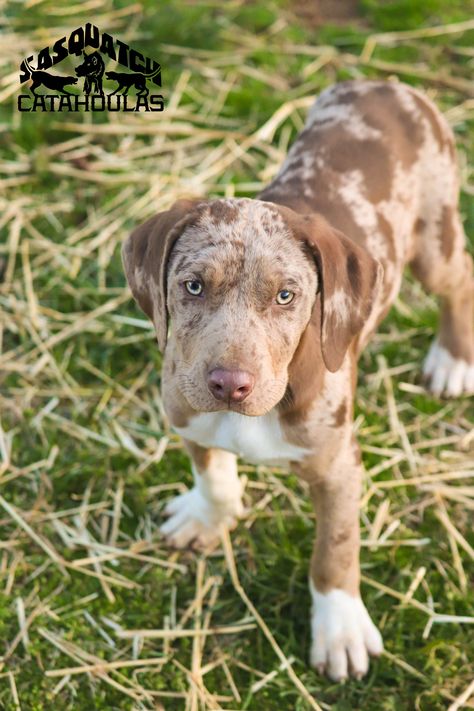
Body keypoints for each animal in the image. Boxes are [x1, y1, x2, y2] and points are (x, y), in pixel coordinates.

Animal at [121, 79, 474, 684]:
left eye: (287, 296)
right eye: (193, 286)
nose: (229, 384)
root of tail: (382, 84)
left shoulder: (338, 467)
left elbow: (335, 549)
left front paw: (340, 631)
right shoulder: (186, 414)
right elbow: (213, 475)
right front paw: (207, 518)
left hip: (435, 236)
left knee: (461, 278)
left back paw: (453, 360)